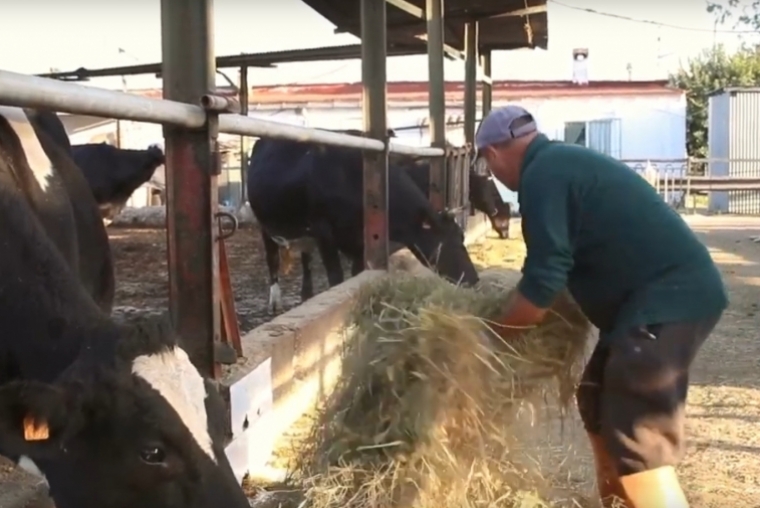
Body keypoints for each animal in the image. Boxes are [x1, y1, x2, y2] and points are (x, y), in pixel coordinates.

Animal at [246, 133, 478, 314]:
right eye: (447, 243)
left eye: (461, 236)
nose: (474, 279)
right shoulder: (323, 231)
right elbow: (336, 276)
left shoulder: (359, 241)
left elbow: (357, 272)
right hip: (265, 226)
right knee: (272, 261)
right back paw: (275, 302)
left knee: (306, 260)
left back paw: (306, 294)